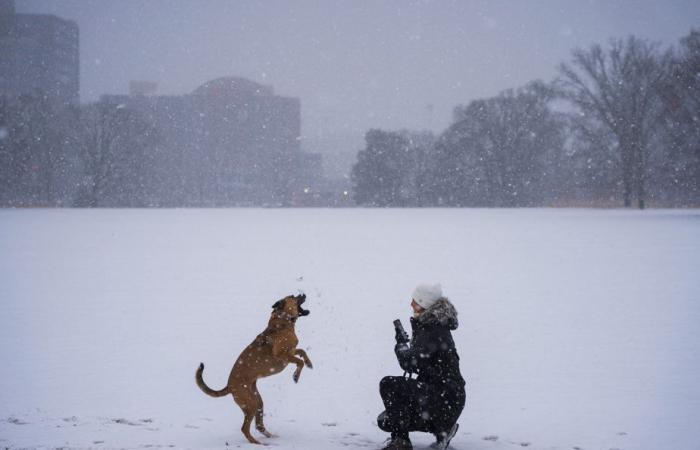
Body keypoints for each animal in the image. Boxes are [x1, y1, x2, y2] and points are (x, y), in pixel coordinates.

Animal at [193, 294, 310, 444]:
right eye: (292, 296)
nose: (303, 294)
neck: (283, 321)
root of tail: (229, 386)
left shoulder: (291, 351)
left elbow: (302, 352)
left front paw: (309, 363)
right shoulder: (281, 355)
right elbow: (299, 361)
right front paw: (296, 375)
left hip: (257, 401)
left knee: (259, 424)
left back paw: (270, 437)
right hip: (251, 403)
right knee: (245, 428)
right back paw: (257, 443)